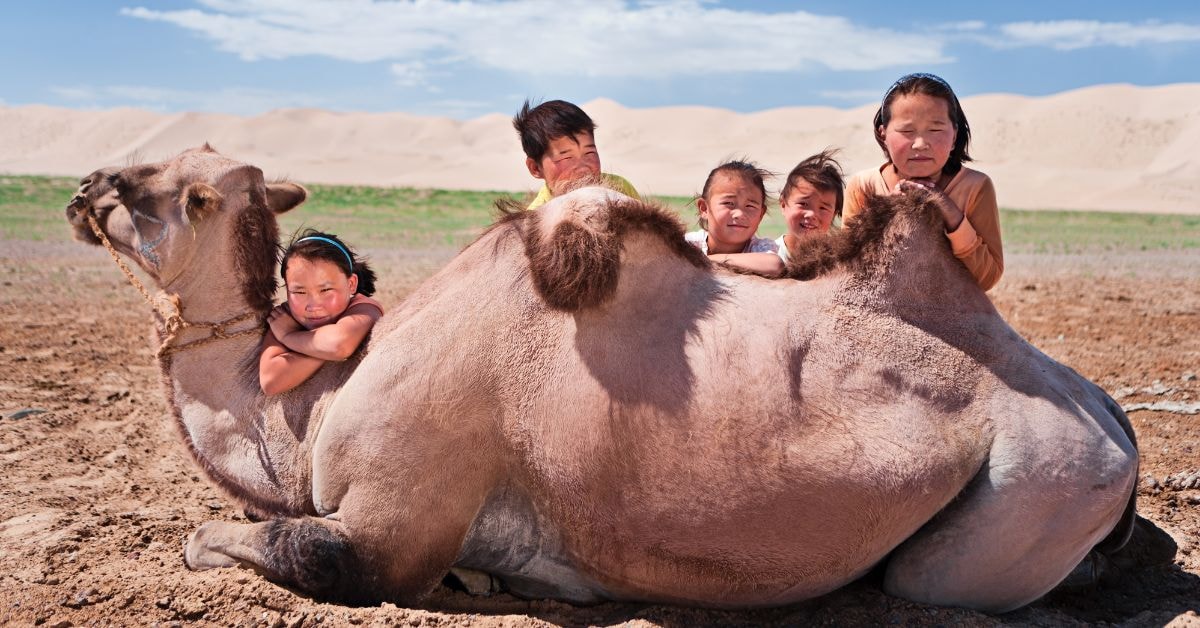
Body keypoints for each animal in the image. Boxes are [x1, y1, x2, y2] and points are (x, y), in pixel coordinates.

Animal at [63, 147, 1132, 614]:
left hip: (1044, 481)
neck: (308, 411)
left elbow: (290, 549)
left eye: (190, 195)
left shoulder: (394, 523)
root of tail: (1114, 427)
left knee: (926, 582)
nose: (87, 188)